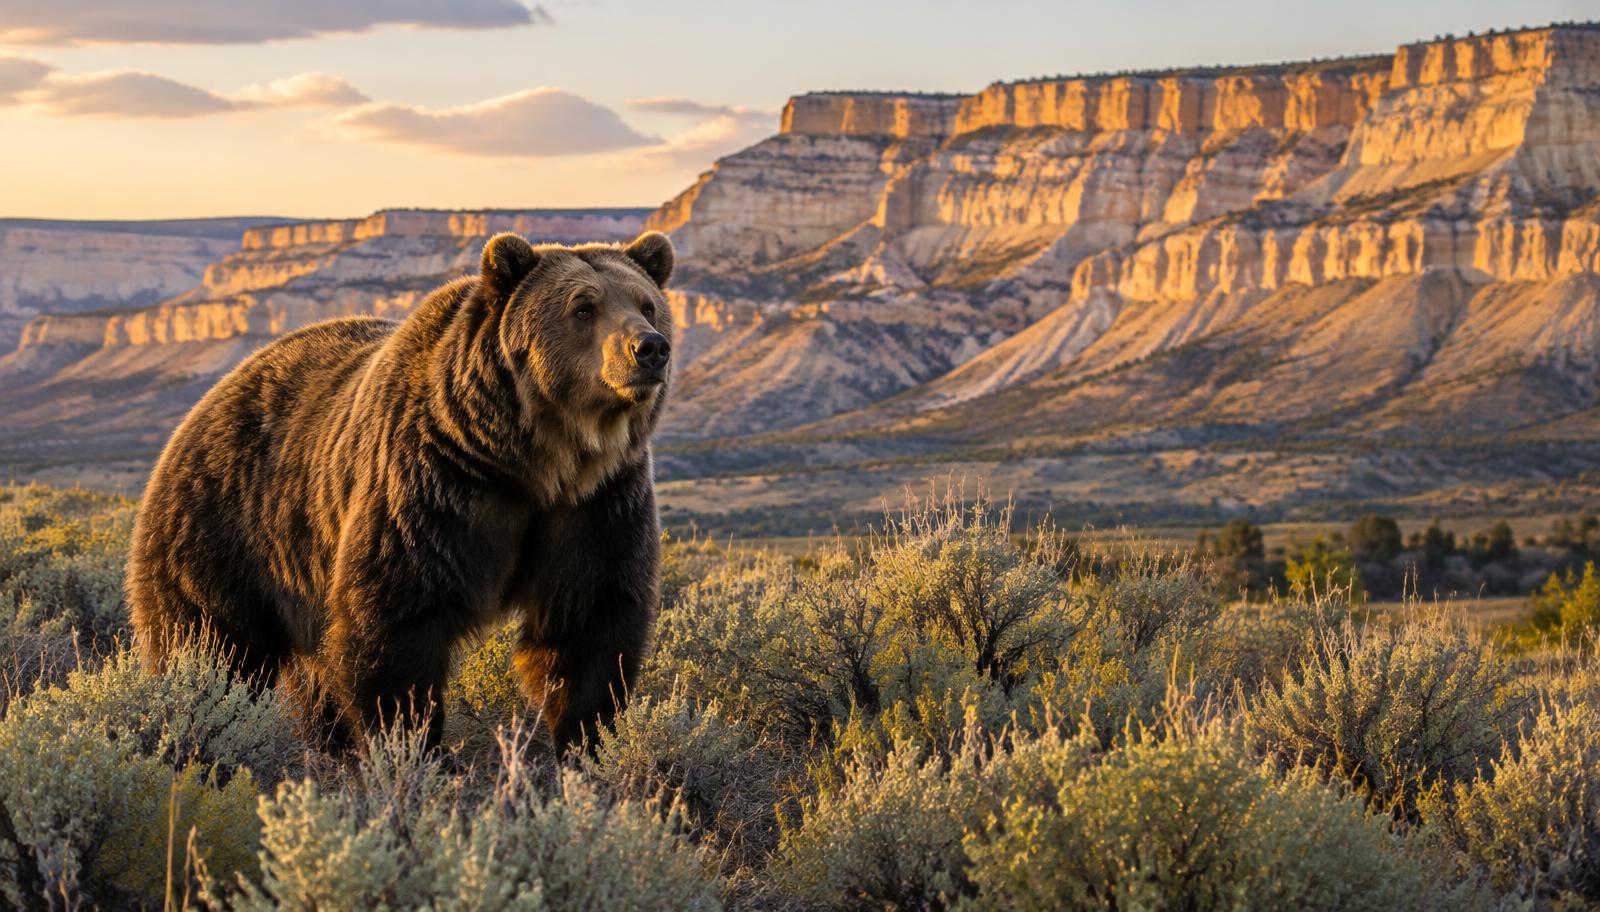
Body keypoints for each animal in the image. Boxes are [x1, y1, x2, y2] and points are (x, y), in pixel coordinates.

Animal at [126, 230, 676, 754]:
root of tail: (214, 393)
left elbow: (590, 623)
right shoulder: (436, 484)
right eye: (583, 307)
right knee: (208, 645)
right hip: (223, 527)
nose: (649, 347)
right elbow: (394, 619)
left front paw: (586, 743)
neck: (539, 458)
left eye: (646, 304)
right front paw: (411, 747)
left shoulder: (598, 502)